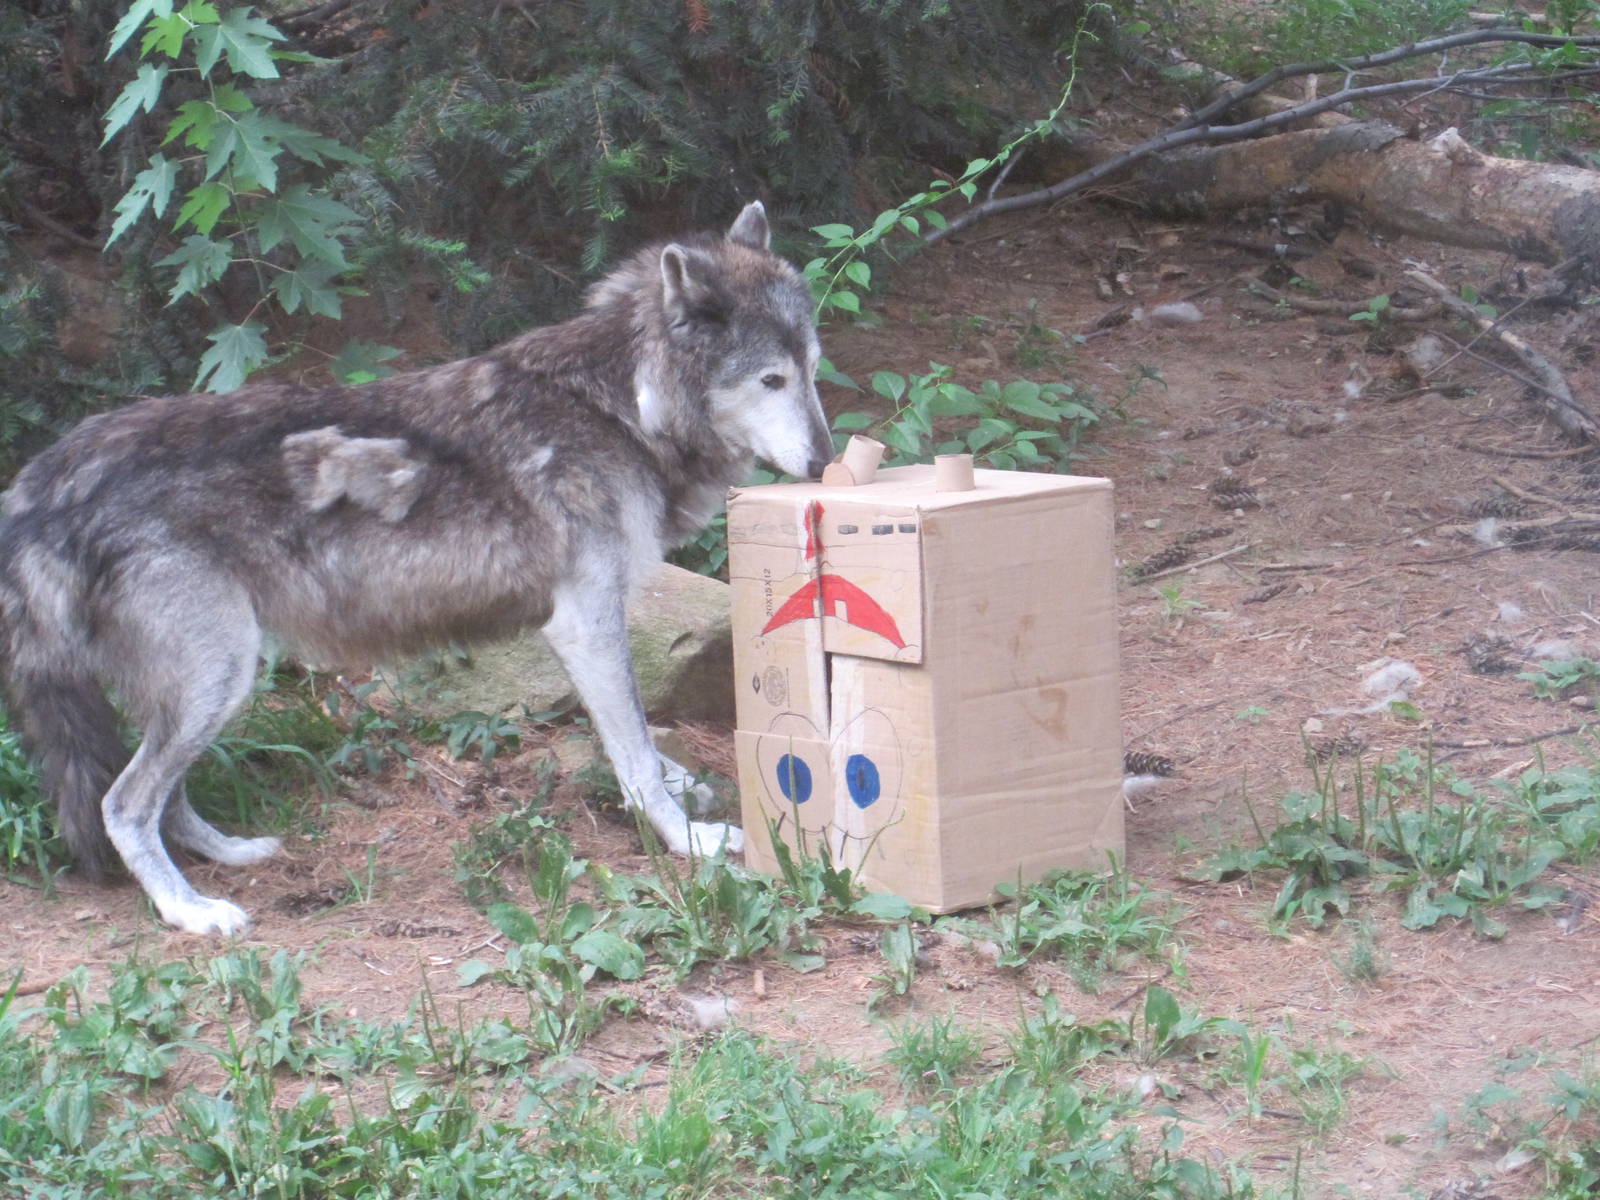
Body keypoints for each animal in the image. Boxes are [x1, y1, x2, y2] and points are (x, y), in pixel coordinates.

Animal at [0, 201, 833, 936]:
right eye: (771, 380)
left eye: (813, 368)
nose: (826, 463)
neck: (620, 407)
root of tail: (45, 477)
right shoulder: (584, 621)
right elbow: (632, 752)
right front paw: (688, 840)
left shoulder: (593, 623)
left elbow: (634, 736)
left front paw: (682, 783)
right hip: (218, 678)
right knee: (123, 804)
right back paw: (191, 912)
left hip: (208, 683)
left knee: (162, 797)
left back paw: (231, 854)